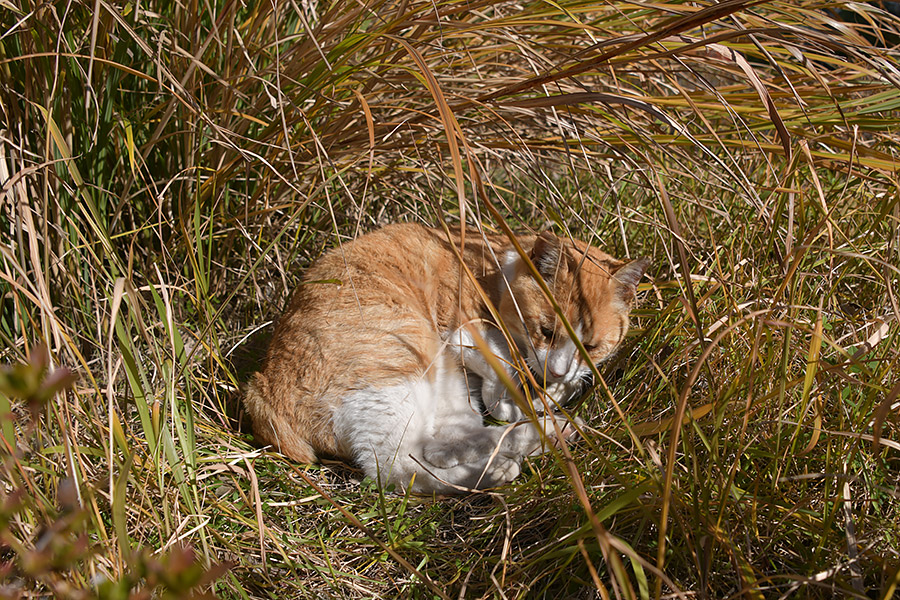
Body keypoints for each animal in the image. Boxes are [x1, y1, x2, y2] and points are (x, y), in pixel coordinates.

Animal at [243, 223, 644, 494]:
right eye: (546, 330)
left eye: (591, 346)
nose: (557, 372)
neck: (494, 269)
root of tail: (261, 390)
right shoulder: (462, 331)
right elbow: (503, 365)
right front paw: (517, 396)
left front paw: (552, 392)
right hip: (405, 358)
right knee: (400, 466)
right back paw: (506, 462)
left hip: (446, 387)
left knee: (448, 440)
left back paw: (546, 435)